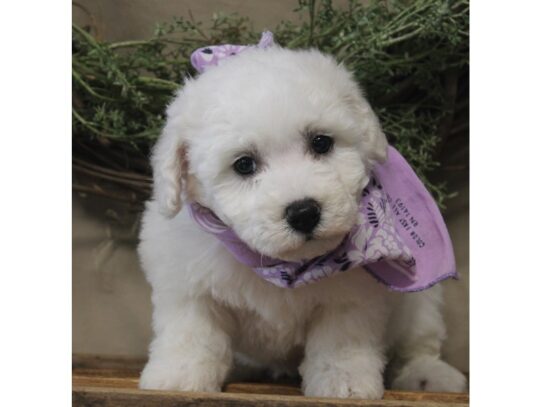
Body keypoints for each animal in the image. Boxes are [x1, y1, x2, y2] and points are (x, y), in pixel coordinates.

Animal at [137, 46, 468, 400]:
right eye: (244, 164)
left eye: (321, 143)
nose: (304, 213)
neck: (282, 264)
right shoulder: (188, 288)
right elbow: (191, 335)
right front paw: (177, 378)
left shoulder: (350, 298)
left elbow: (340, 342)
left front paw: (344, 382)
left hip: (419, 305)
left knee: (418, 345)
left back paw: (429, 376)